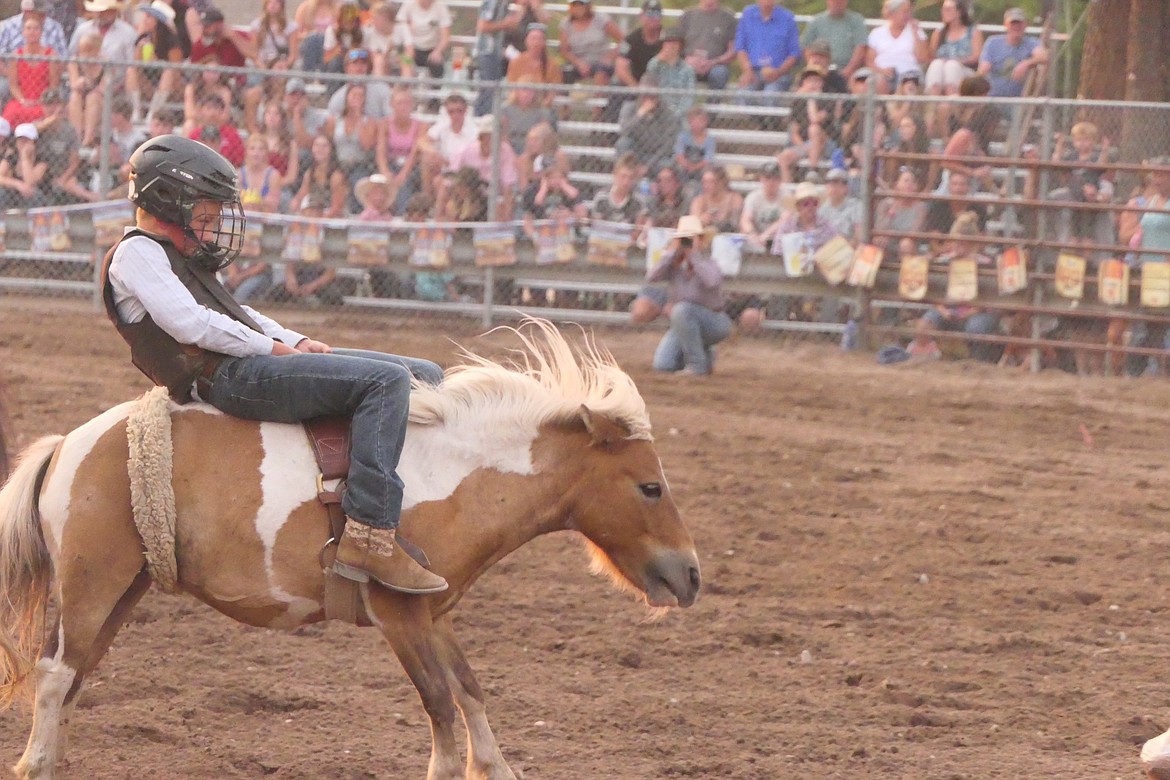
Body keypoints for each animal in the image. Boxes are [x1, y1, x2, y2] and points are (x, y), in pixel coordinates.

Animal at [0, 320, 697, 776]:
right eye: (651, 486)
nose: (690, 576)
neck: (453, 473)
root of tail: (66, 446)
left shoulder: (434, 611)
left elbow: (469, 694)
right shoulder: (399, 613)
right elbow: (440, 711)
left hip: (126, 586)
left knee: (72, 680)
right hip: (93, 585)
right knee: (55, 676)